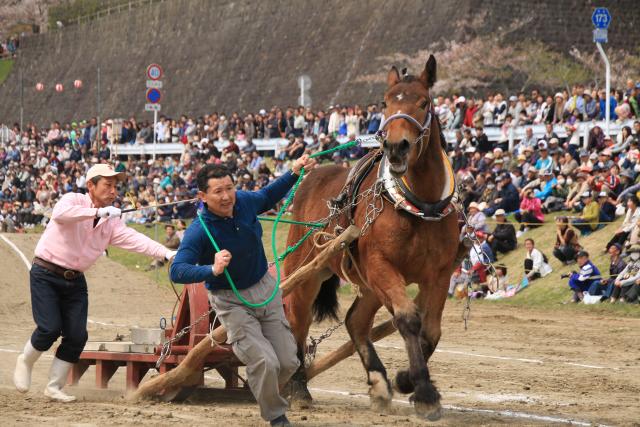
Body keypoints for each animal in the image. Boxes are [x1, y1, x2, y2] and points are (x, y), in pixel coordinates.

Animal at [284, 55, 460, 420]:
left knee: (355, 321)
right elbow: (407, 318)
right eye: (386, 101)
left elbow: (431, 330)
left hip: (366, 282)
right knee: (297, 321)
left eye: (424, 102)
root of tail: (315, 174)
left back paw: (378, 381)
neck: (419, 207)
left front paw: (406, 379)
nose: (396, 146)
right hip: (306, 272)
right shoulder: (382, 265)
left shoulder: (439, 273)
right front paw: (424, 391)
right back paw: (298, 385)